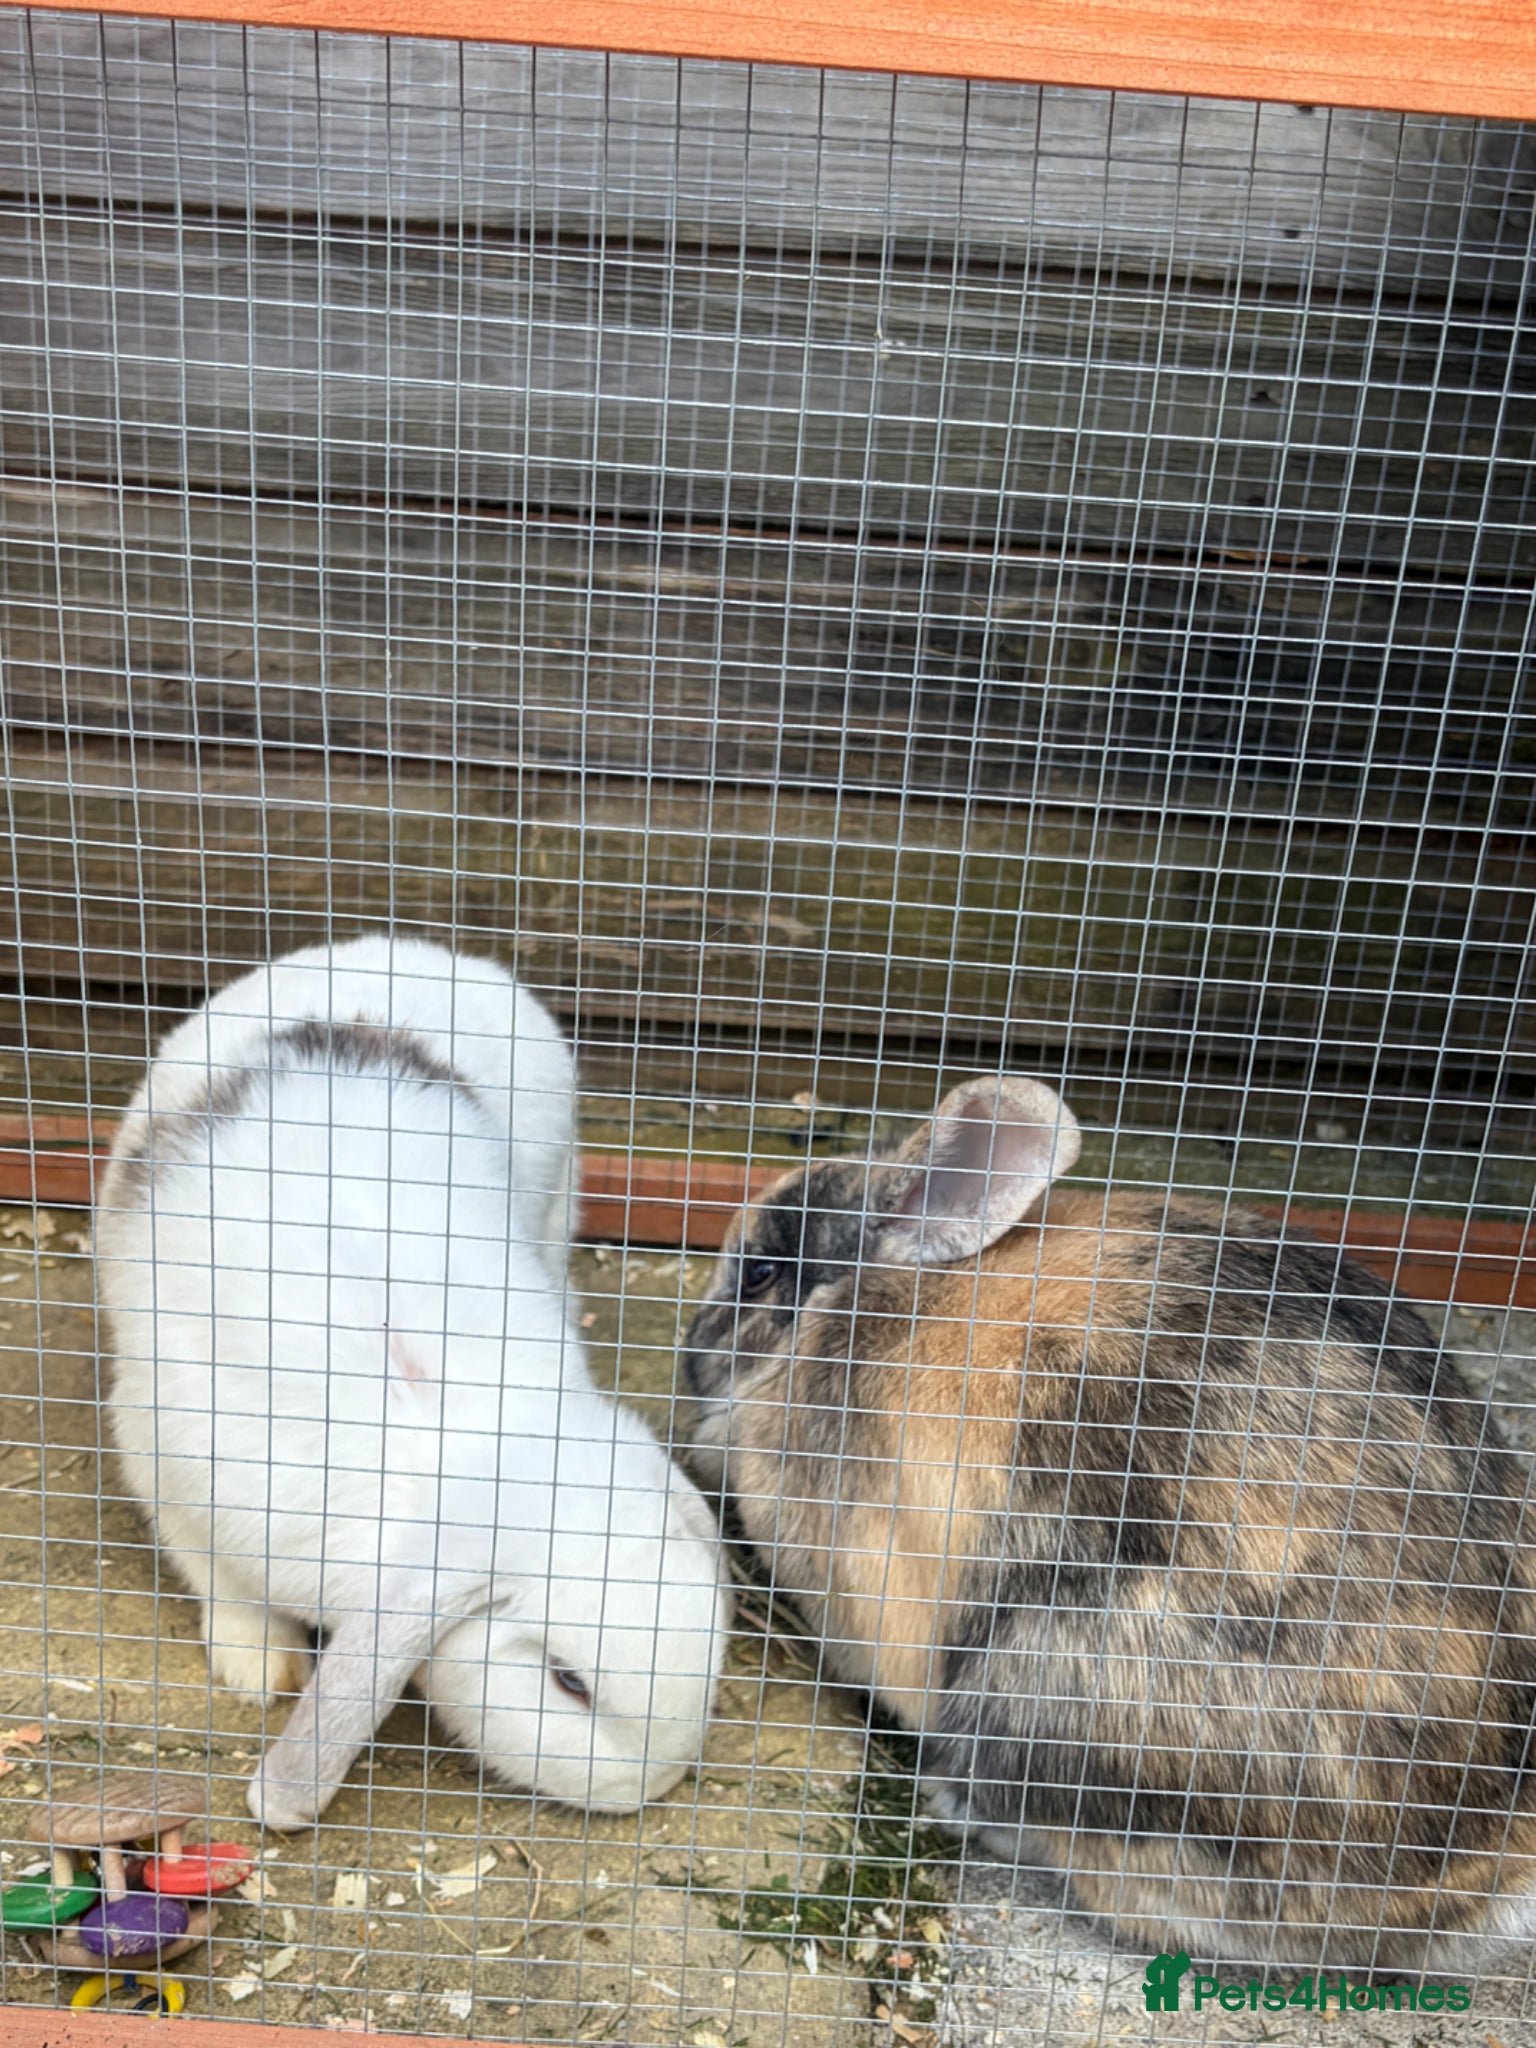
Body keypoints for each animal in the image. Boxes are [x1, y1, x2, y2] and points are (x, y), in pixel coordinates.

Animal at [97, 934, 731, 1828]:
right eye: (568, 1681)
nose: (662, 1782)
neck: (464, 1442)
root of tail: (418, 950)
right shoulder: (164, 1459)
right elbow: (222, 1584)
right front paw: (262, 1671)